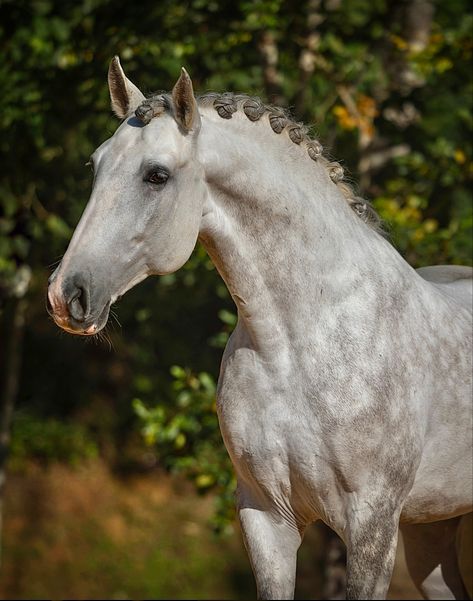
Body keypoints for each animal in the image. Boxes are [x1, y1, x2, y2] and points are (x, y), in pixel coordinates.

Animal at [46, 57, 470, 600]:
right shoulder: (266, 517)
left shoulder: (372, 526)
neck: (300, 343)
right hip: (430, 530)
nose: (67, 295)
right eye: (96, 165)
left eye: (156, 175)